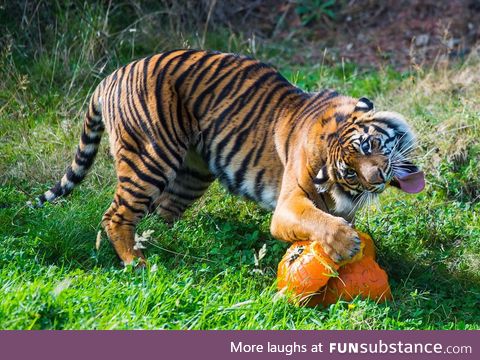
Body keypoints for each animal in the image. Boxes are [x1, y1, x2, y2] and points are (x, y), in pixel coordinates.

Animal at [37, 49, 424, 266]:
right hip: (150, 158)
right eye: (351, 171)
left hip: (192, 174)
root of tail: (110, 77)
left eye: (369, 146)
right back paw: (139, 263)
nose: (376, 177)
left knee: (161, 212)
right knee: (116, 215)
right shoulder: (288, 205)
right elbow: (318, 221)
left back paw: (170, 243)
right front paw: (345, 243)